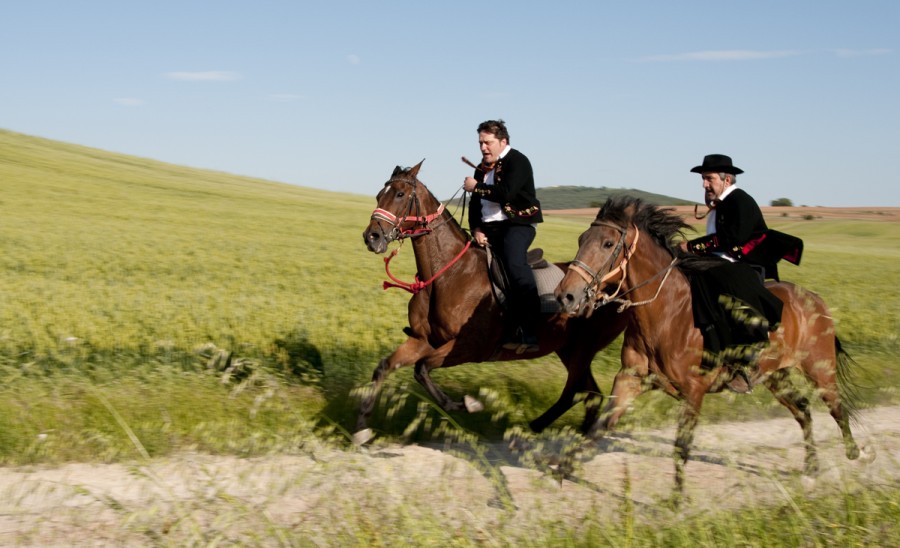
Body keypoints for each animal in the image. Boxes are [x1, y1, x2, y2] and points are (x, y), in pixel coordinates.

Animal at [356, 161, 628, 444]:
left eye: (400, 194)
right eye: (379, 195)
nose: (372, 237)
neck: (449, 274)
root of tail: (611, 286)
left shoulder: (470, 346)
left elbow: (422, 369)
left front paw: (468, 404)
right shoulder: (422, 340)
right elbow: (385, 367)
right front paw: (362, 428)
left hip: (583, 349)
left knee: (576, 393)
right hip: (569, 349)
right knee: (589, 394)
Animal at [556, 196, 872, 492]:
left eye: (608, 243)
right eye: (582, 240)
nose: (566, 296)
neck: (669, 313)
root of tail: (816, 299)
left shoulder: (694, 391)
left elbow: (681, 447)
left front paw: (676, 501)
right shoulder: (630, 379)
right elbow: (599, 427)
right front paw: (563, 468)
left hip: (819, 369)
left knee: (836, 408)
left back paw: (856, 454)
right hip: (775, 376)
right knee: (803, 410)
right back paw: (811, 470)